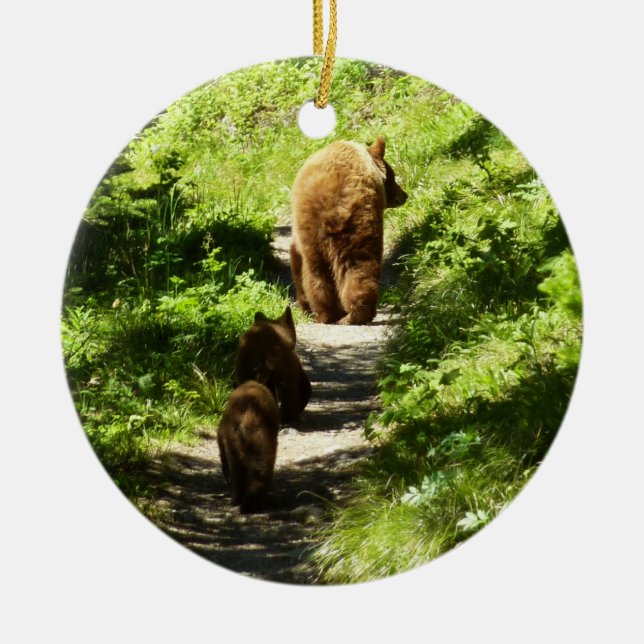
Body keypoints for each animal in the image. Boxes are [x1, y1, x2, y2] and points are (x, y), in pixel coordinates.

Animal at [290, 135, 407, 325]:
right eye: (393, 176)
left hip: (317, 230)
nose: (404, 195)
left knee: (318, 273)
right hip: (357, 224)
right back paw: (355, 313)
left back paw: (328, 314)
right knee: (359, 266)